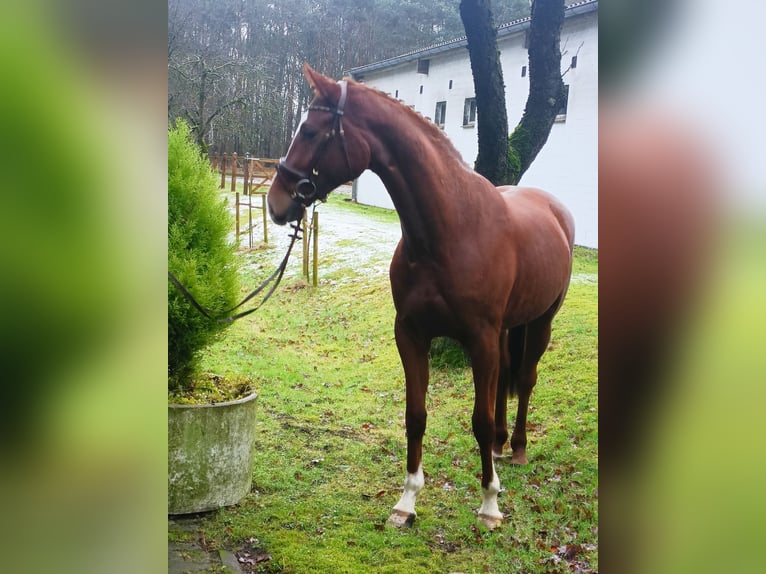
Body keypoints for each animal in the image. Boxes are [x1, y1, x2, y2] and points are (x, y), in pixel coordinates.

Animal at [268, 64, 572, 532]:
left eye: (313, 131)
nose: (275, 202)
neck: (449, 232)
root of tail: (555, 210)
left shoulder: (479, 339)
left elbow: (479, 420)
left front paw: (489, 504)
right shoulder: (411, 334)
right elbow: (416, 416)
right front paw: (406, 501)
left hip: (541, 322)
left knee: (523, 379)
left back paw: (517, 448)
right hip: (506, 330)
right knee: (505, 379)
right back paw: (501, 447)